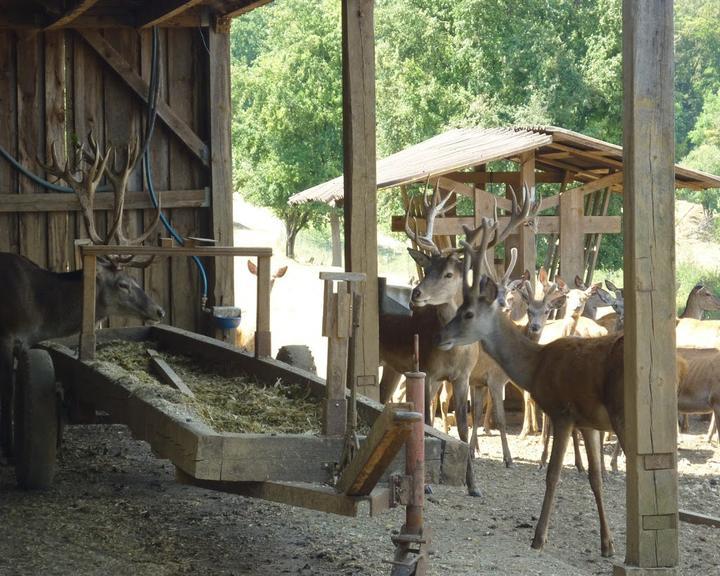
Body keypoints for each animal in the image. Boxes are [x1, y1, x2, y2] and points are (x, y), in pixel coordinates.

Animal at [0, 133, 165, 456]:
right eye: (123, 284)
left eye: (135, 279)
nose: (159, 310)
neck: (39, 312)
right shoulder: (5, 334)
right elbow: (7, 393)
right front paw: (9, 449)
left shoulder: (22, 342)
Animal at [434, 217, 680, 560]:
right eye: (457, 310)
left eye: (468, 313)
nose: (441, 336)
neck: (537, 365)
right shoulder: (589, 422)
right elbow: (595, 478)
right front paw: (607, 544)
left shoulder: (563, 412)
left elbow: (553, 475)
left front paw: (539, 537)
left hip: (624, 415)